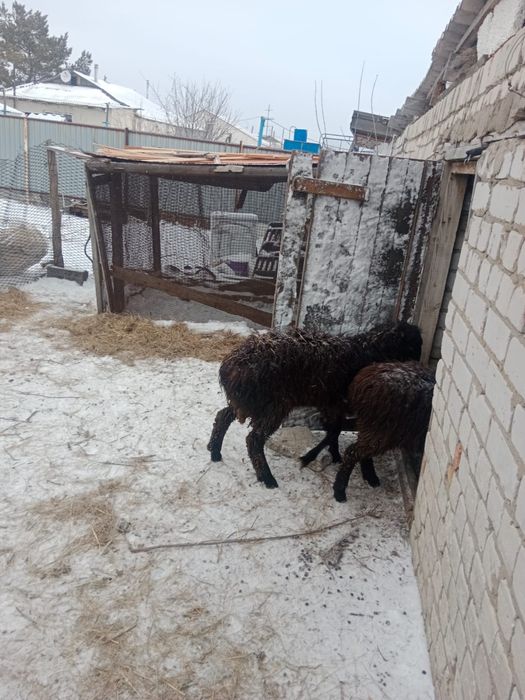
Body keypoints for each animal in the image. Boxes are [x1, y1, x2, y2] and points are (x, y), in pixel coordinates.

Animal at [207, 321, 423, 490]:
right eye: (414, 345)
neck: (367, 352)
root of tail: (230, 367)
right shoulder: (338, 404)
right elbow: (335, 432)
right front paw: (317, 457)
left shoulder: (332, 404)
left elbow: (334, 431)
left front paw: (335, 455)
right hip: (272, 405)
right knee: (253, 439)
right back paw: (267, 479)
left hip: (249, 402)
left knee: (223, 415)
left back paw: (214, 450)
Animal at [333, 361, 435, 503]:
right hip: (382, 430)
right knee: (351, 453)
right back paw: (340, 491)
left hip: (373, 428)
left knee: (360, 451)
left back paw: (370, 477)